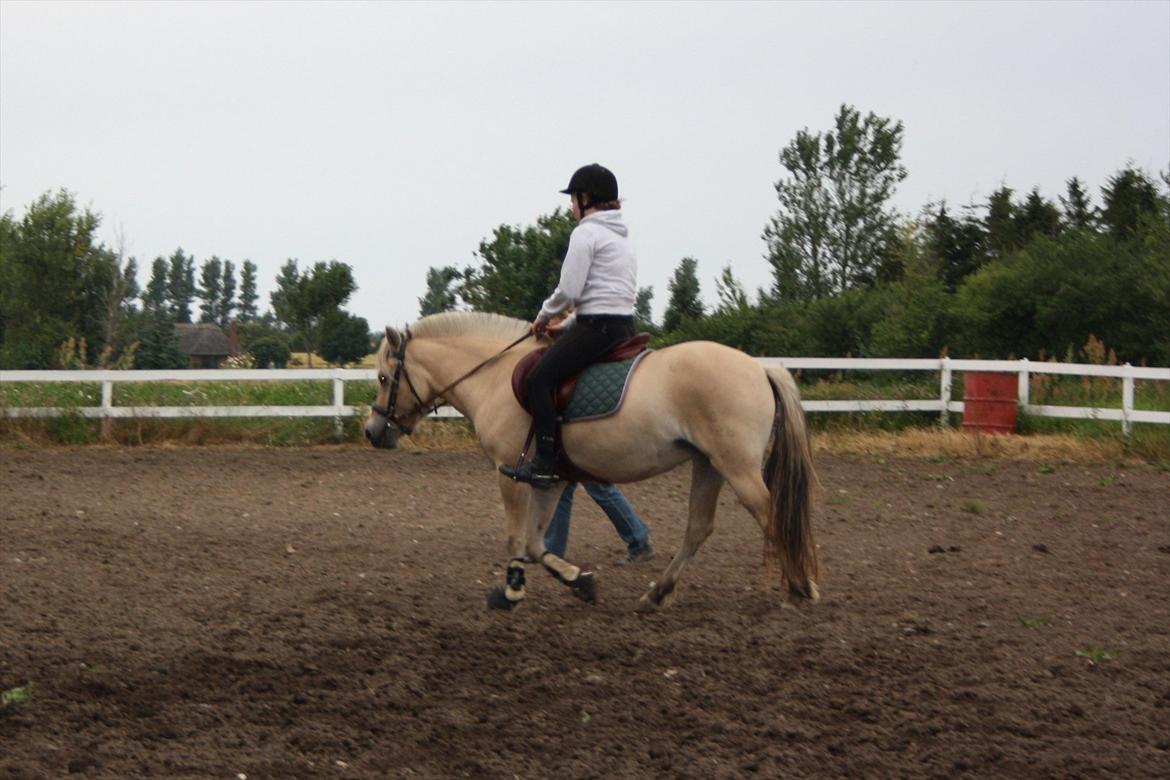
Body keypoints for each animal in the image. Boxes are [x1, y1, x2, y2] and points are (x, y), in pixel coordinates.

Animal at [360, 308, 819, 608]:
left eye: (383, 377)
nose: (373, 431)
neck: (493, 376)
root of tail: (760, 368)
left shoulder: (511, 473)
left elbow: (516, 538)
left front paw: (511, 590)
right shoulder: (551, 478)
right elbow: (536, 543)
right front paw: (578, 581)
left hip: (737, 467)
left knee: (771, 514)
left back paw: (802, 587)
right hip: (709, 465)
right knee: (698, 528)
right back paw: (657, 593)